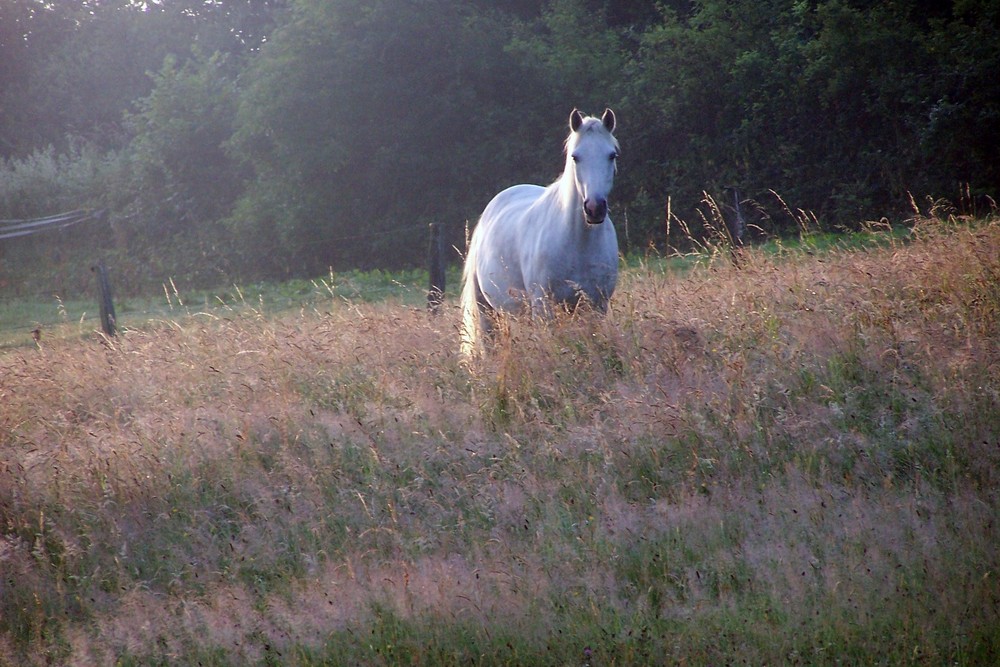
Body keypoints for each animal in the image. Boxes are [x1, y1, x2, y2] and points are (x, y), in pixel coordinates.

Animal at [460, 108, 616, 360]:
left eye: (611, 155)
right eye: (576, 157)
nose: (594, 208)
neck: (577, 244)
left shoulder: (596, 305)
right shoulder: (544, 308)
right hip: (488, 311)